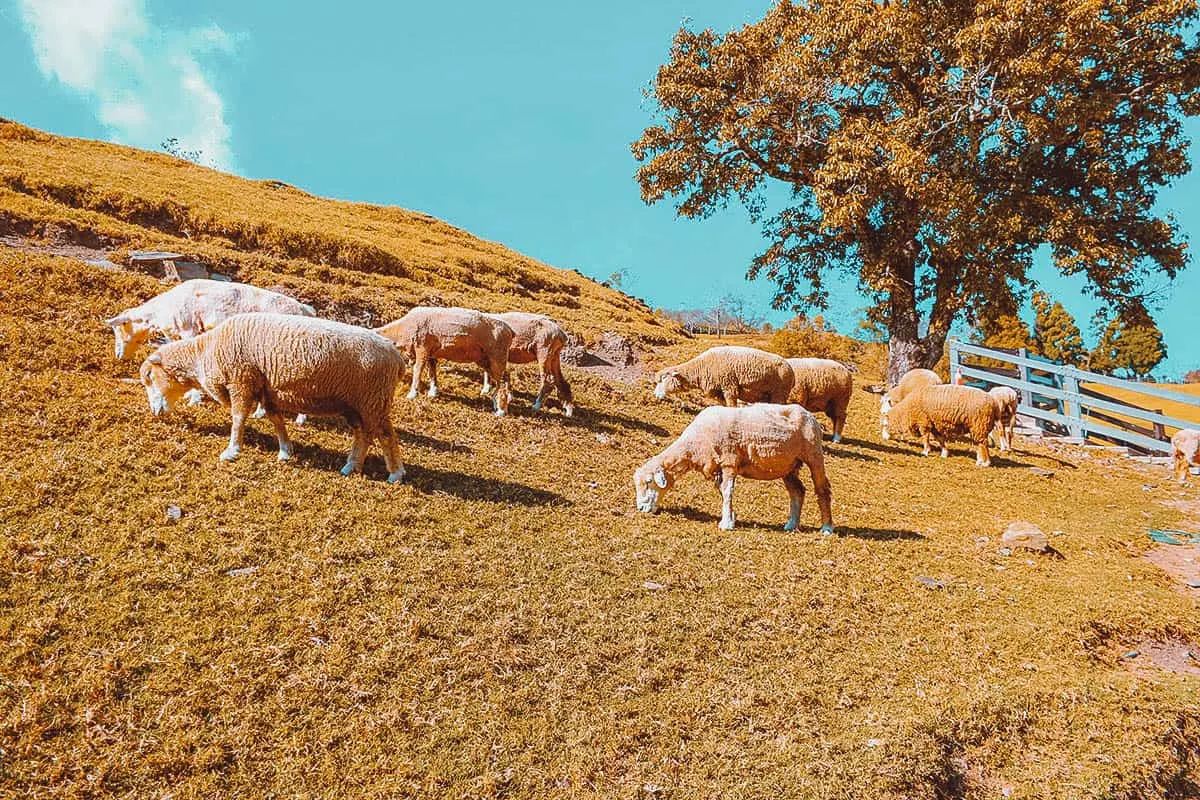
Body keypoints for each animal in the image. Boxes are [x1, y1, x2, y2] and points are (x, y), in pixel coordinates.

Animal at [138, 311, 405, 482]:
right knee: (363, 435)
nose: (155, 412)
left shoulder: (241, 381)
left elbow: (238, 418)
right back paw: (351, 466)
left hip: (374, 400)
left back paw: (395, 474)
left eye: (149, 377)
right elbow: (275, 420)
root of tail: (397, 357)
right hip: (357, 405)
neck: (205, 353)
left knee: (385, 435)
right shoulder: (267, 389)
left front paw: (231, 451)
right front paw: (285, 451)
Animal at [376, 307, 513, 417]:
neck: (402, 330)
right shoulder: (430, 353)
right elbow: (431, 372)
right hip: (484, 359)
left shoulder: (422, 347)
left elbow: (418, 370)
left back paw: (501, 410)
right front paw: (433, 391)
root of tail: (510, 331)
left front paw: (412, 393)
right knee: (505, 378)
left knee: (502, 381)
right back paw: (497, 404)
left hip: (497, 356)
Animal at [628, 407, 835, 532]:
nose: (640, 508)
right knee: (797, 491)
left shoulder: (729, 462)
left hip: (814, 454)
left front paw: (726, 523)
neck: (694, 445)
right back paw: (791, 524)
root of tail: (810, 414)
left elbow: (728, 492)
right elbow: (723, 492)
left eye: (649, 482)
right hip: (788, 466)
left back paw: (827, 528)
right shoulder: (719, 468)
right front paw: (731, 518)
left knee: (822, 490)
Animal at [652, 345, 792, 407]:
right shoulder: (718, 391)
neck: (701, 367)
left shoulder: (729, 387)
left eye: (663, 379)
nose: (655, 395)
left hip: (779, 393)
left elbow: (731, 405)